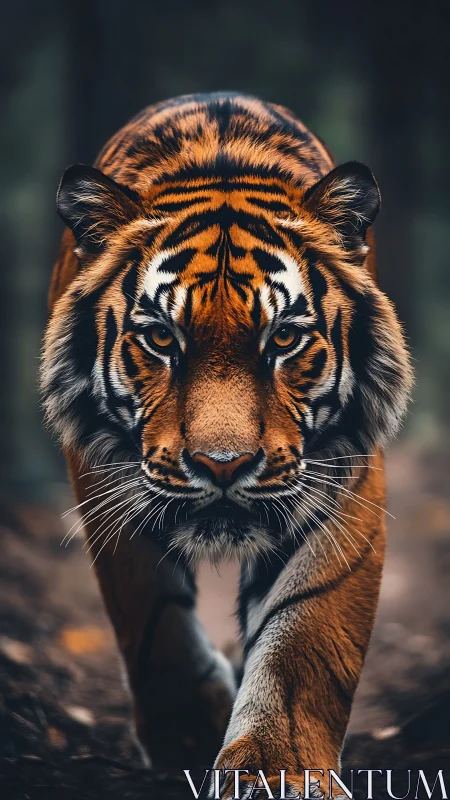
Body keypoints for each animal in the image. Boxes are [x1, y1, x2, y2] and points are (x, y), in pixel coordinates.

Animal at [41, 93, 412, 798]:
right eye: (161, 338)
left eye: (284, 338)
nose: (223, 466)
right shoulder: (103, 475)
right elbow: (148, 605)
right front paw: (188, 728)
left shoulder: (343, 475)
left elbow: (302, 631)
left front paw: (275, 770)